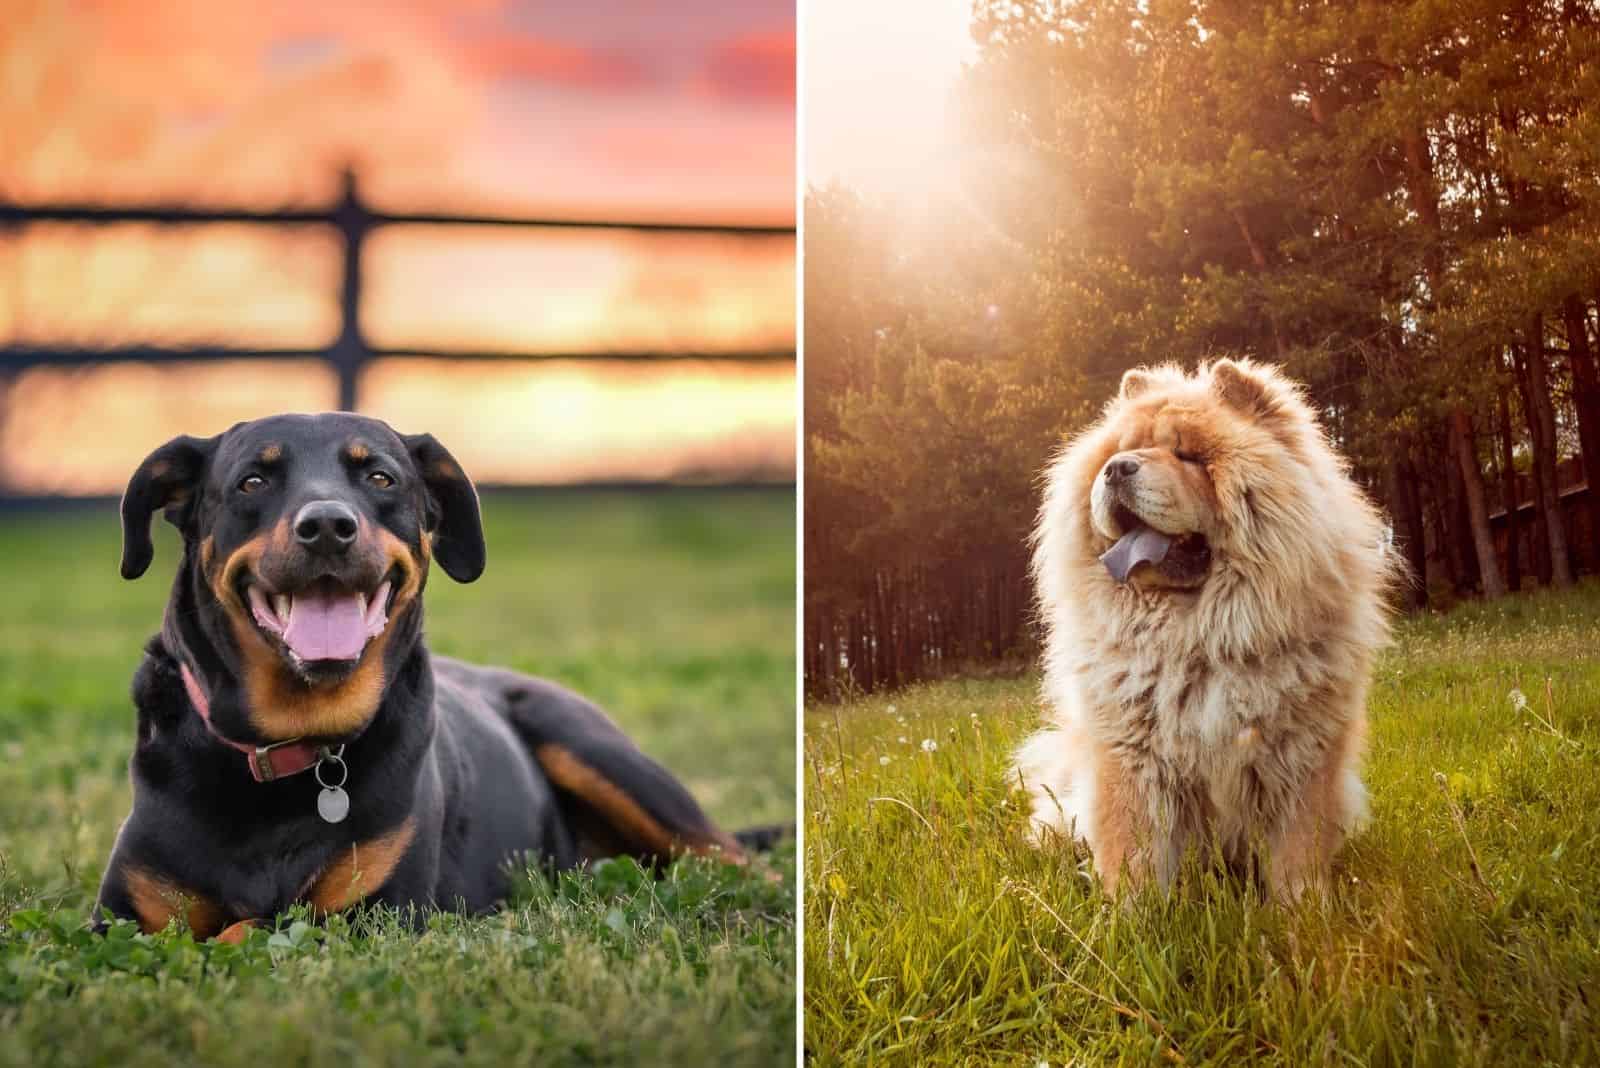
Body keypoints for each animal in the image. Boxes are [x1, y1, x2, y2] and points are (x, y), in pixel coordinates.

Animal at [93, 412, 768, 940]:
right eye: (252, 481)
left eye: (379, 477)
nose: (328, 526)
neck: (290, 747)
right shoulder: (122, 916)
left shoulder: (379, 915)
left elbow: (252, 925)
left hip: (596, 750)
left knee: (741, 863)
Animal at [1017, 358, 1395, 901]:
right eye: (1117, 452)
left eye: (1188, 455)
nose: (1117, 468)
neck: (1197, 635)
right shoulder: (1132, 759)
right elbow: (1134, 849)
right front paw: (1132, 914)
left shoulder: (1301, 755)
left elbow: (1298, 849)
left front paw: (1303, 910)